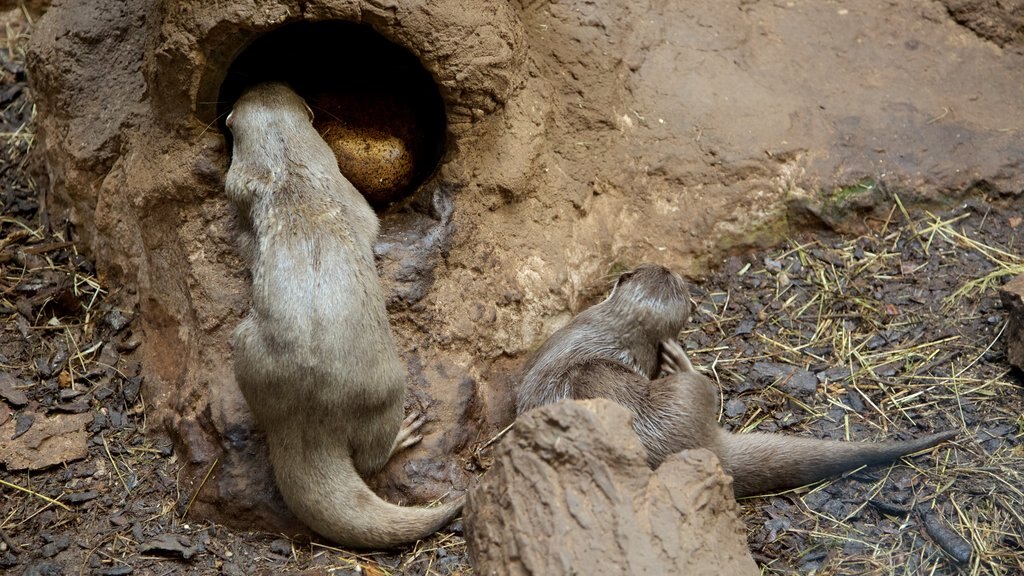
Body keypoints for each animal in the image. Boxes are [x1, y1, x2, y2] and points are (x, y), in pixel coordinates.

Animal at [228, 83, 464, 545]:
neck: (288, 177)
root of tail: (307, 413)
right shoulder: (350, 196)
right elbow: (370, 224)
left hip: (244, 346)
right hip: (386, 386)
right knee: (372, 457)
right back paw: (404, 433)